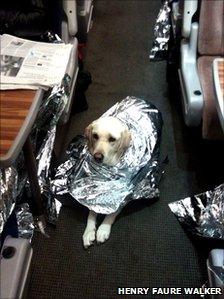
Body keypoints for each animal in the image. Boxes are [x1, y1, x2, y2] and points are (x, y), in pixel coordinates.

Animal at [82, 116, 131, 248]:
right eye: (95, 136)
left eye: (112, 139)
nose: (97, 157)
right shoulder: (94, 189)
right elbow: (91, 211)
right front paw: (89, 232)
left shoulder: (124, 194)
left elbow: (112, 213)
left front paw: (103, 229)